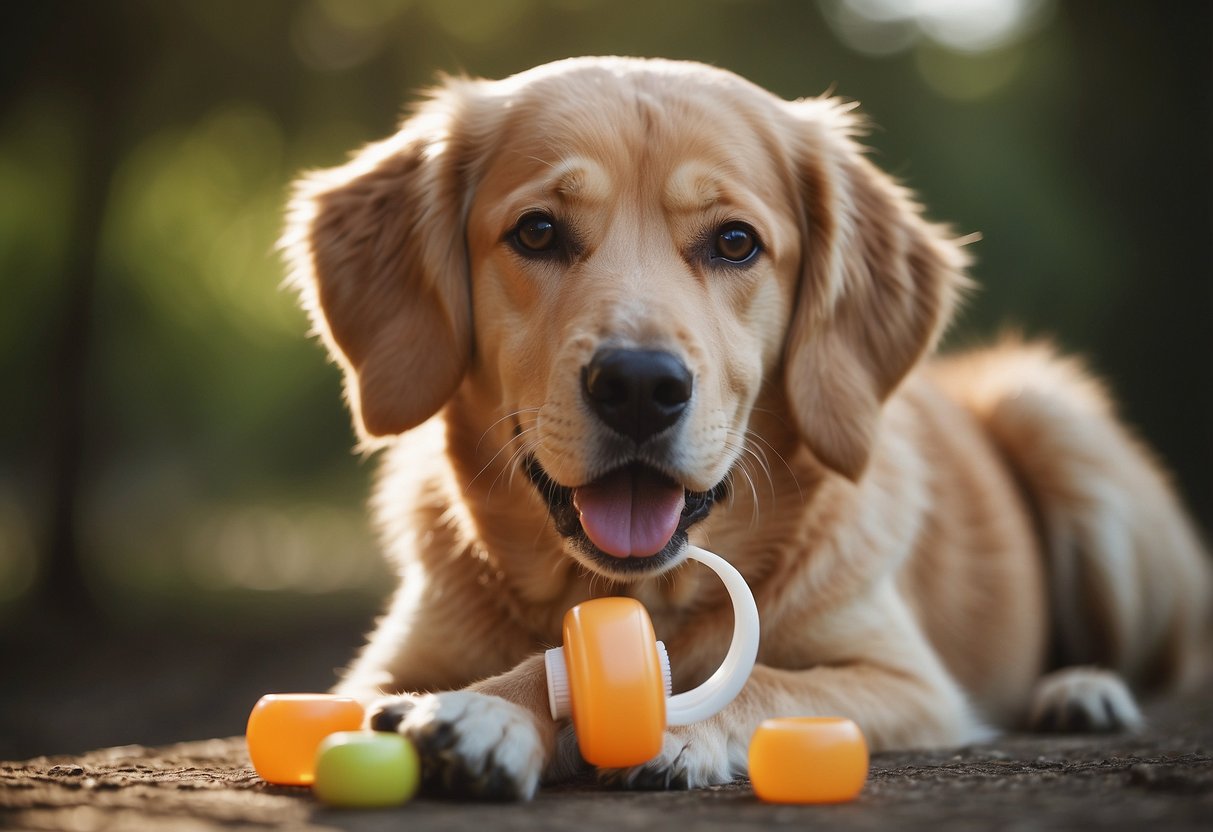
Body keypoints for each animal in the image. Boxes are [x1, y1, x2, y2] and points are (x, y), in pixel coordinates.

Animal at [277, 57, 1213, 800]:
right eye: (536, 231)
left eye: (734, 242)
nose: (639, 387)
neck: (642, 596)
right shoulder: (379, 666)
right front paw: (483, 709)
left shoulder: (903, 679)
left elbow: (763, 679)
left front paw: (541, 714)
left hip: (1054, 424)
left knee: (1169, 659)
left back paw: (1080, 690)